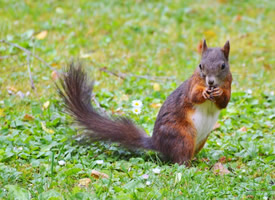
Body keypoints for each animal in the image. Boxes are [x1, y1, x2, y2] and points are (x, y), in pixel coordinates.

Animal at [57, 39, 233, 166]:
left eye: (223, 66)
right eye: (200, 66)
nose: (210, 82)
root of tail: (157, 143)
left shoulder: (229, 85)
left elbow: (224, 102)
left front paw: (219, 93)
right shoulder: (192, 85)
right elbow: (193, 96)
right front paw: (203, 92)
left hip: (200, 140)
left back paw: (201, 160)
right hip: (183, 136)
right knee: (180, 160)